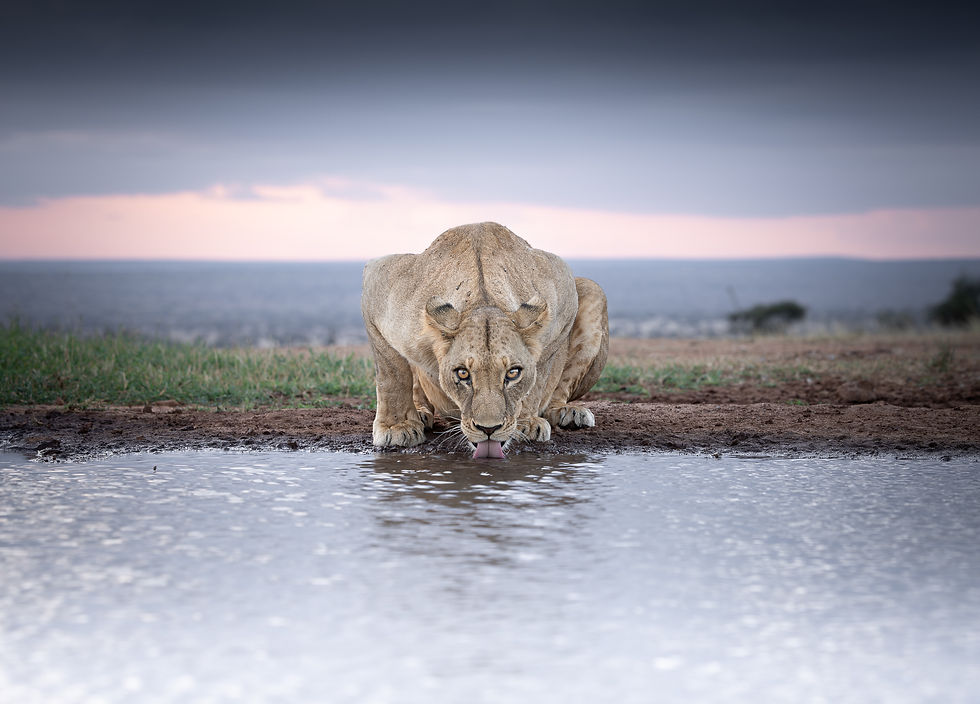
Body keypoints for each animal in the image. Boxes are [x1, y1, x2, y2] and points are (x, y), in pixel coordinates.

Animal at [361, 222, 608, 457]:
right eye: (462, 373)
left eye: (513, 373)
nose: (489, 429)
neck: (482, 296)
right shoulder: (380, 282)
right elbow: (393, 375)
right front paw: (396, 427)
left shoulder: (563, 291)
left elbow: (539, 378)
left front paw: (526, 422)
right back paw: (421, 414)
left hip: (593, 289)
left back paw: (568, 412)